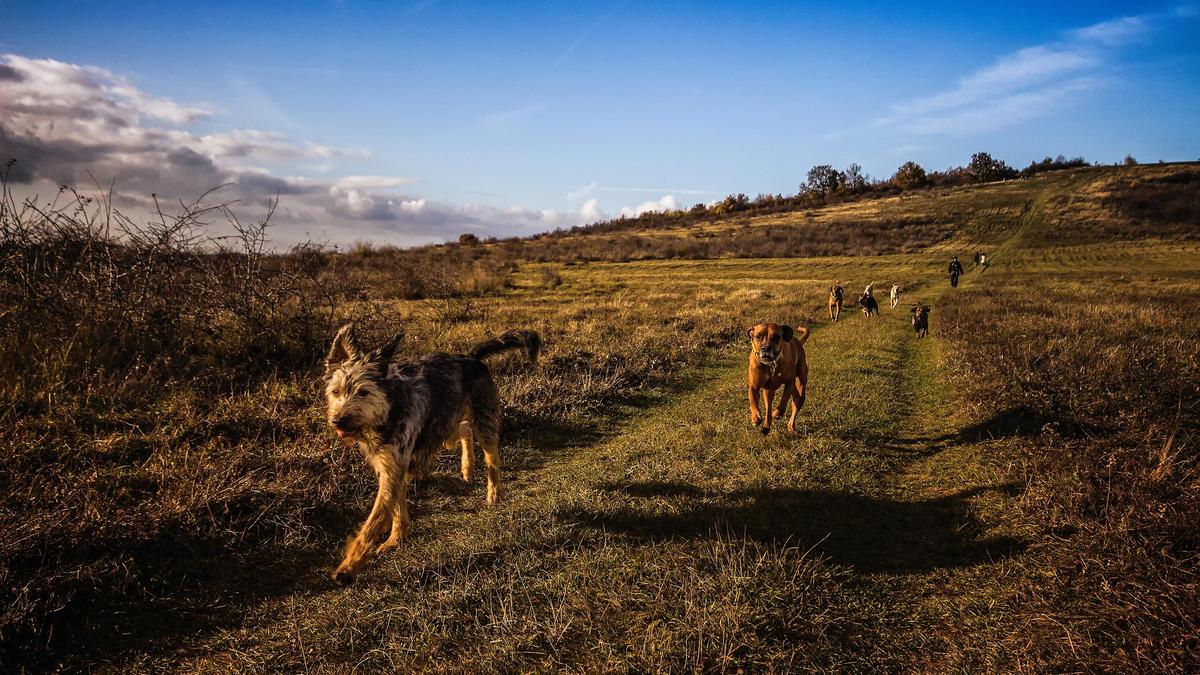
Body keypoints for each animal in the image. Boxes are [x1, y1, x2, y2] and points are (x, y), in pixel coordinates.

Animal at [324, 324, 540, 581]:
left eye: (363, 392)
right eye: (336, 392)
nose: (338, 420)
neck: (388, 410)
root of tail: (470, 357)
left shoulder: (393, 467)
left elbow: (374, 521)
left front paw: (348, 567)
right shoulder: (389, 465)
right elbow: (396, 507)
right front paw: (397, 538)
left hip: (483, 419)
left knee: (492, 457)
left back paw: (494, 493)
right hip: (445, 425)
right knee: (464, 430)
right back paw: (467, 467)